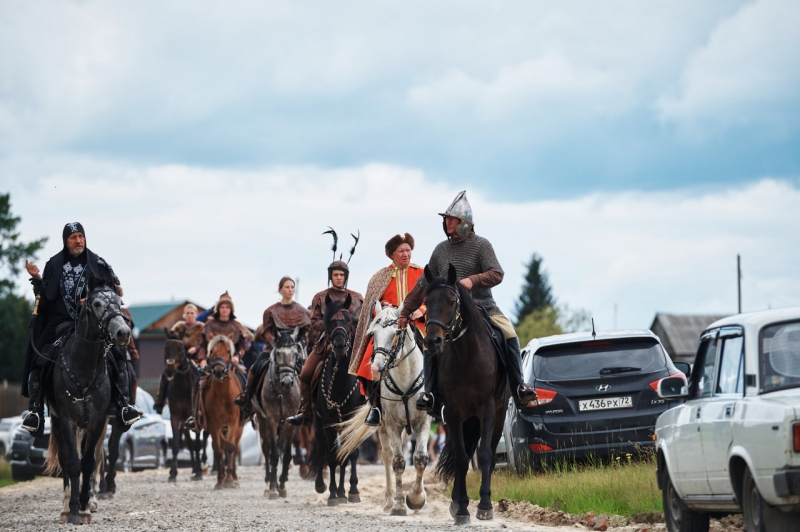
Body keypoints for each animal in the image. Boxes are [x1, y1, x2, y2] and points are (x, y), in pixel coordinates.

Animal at [42, 276, 130, 524]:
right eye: (97, 304)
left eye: (119, 301)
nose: (123, 332)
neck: (83, 366)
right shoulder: (67, 420)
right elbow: (73, 463)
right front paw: (73, 509)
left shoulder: (98, 421)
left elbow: (90, 462)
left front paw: (84, 506)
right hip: (57, 422)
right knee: (65, 458)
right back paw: (65, 506)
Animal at [200, 336, 244, 490]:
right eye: (212, 351)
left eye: (228, 351)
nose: (219, 371)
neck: (223, 396)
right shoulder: (214, 425)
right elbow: (218, 451)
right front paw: (220, 480)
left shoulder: (234, 423)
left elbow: (230, 448)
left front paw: (230, 480)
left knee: (235, 447)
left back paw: (234, 477)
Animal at [310, 296, 366, 508]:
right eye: (330, 322)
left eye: (349, 320)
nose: (341, 346)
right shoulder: (328, 423)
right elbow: (333, 456)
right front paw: (333, 494)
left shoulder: (353, 421)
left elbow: (351, 454)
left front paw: (352, 491)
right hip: (319, 423)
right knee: (321, 449)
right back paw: (322, 486)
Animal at [338, 304, 432, 516]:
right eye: (373, 333)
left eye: (396, 332)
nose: (376, 368)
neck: (405, 377)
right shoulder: (392, 424)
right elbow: (398, 462)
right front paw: (399, 505)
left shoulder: (423, 421)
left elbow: (421, 458)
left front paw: (417, 499)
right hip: (382, 427)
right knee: (388, 457)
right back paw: (389, 500)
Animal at [428, 264, 510, 524]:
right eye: (426, 301)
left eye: (452, 301)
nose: (432, 342)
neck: (466, 357)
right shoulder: (453, 414)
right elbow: (462, 459)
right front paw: (462, 508)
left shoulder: (487, 410)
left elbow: (484, 455)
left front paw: (484, 506)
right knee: (459, 455)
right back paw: (456, 502)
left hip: (499, 415)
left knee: (490, 456)